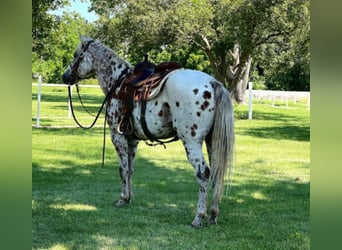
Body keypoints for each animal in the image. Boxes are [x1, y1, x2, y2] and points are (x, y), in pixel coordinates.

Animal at [62, 35, 235, 229]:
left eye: (76, 54)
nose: (65, 76)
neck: (117, 83)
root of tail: (213, 83)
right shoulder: (132, 140)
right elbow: (130, 169)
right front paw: (129, 199)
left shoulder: (118, 137)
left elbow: (122, 169)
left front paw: (122, 199)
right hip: (212, 141)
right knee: (217, 172)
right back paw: (213, 214)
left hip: (191, 142)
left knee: (203, 174)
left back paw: (199, 217)